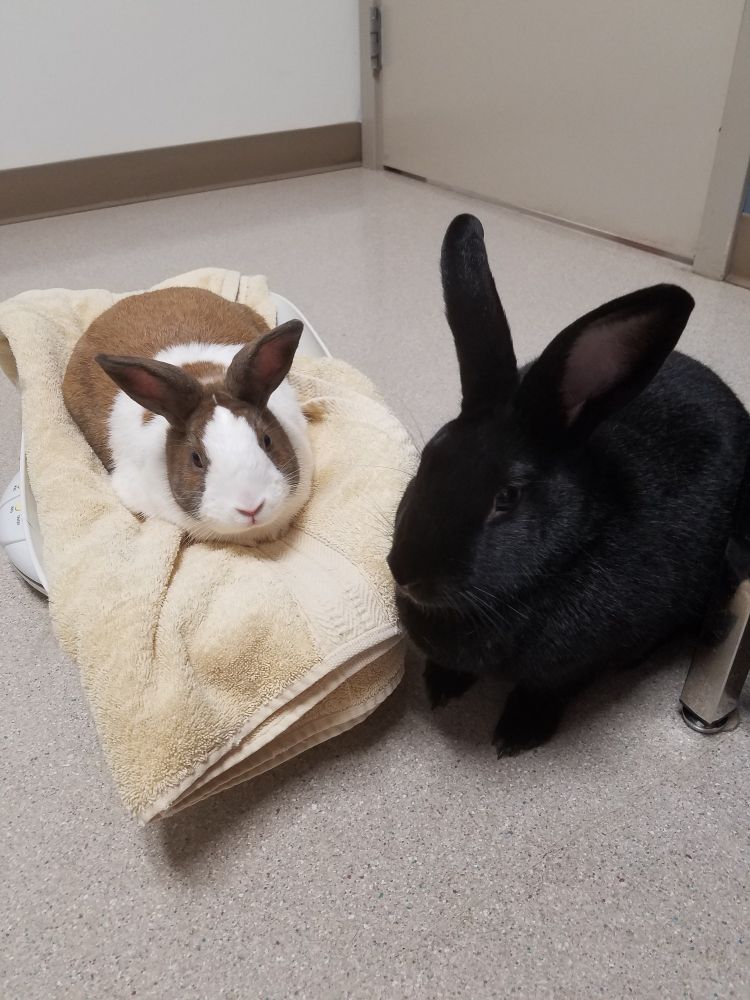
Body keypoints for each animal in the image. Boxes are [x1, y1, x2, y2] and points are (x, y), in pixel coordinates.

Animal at [387, 214, 750, 756]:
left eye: (507, 497)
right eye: (428, 459)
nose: (405, 571)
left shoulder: (575, 667)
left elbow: (549, 688)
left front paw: (517, 733)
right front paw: (442, 687)